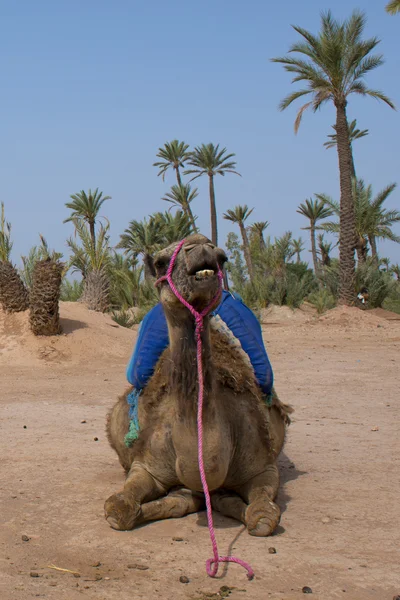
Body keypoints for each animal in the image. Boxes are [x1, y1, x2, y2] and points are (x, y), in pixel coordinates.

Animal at [104, 232, 292, 536]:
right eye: (161, 262)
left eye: (222, 258)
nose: (200, 246)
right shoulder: (146, 466)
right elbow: (118, 510)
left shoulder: (263, 467)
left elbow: (262, 517)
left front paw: (240, 506)